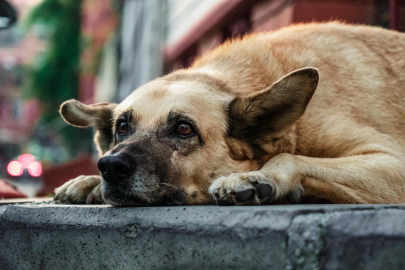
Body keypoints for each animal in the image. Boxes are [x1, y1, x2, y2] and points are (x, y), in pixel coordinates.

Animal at [52, 22, 404, 206]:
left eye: (184, 129)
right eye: (122, 127)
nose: (110, 166)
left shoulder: (393, 162)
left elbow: (289, 157)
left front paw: (257, 176)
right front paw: (89, 182)